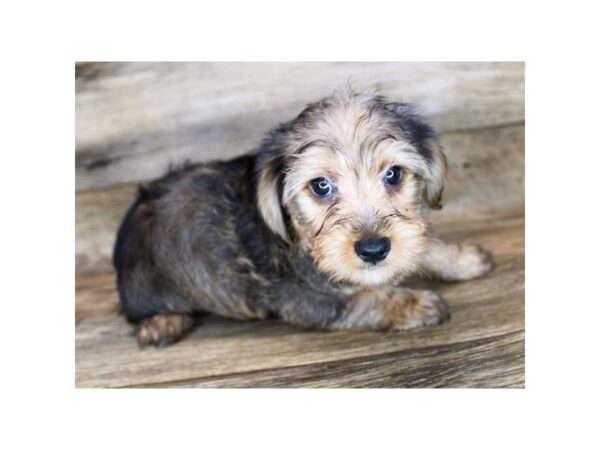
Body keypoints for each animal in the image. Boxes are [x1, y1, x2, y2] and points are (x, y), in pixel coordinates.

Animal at [111, 89, 492, 348]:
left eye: (393, 174)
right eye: (321, 186)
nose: (373, 249)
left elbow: (422, 243)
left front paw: (462, 258)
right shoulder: (309, 301)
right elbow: (368, 299)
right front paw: (415, 303)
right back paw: (162, 323)